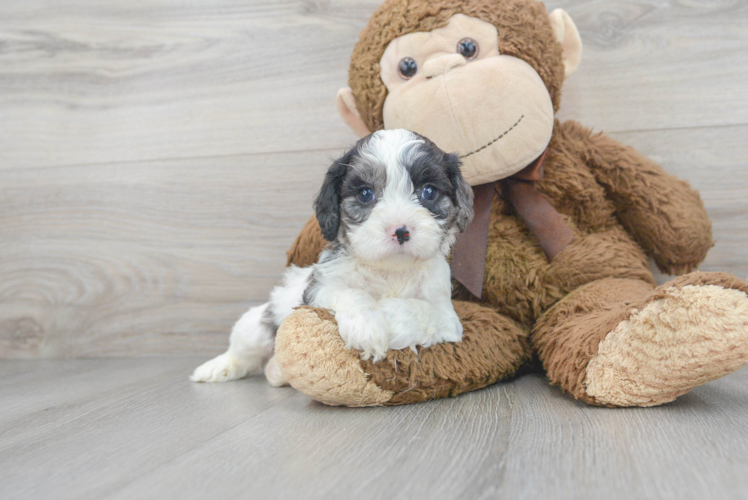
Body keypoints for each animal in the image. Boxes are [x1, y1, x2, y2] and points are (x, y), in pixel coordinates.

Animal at [191, 130, 474, 386]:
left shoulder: (447, 318)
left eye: (428, 192)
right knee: (242, 351)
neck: (390, 272)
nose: (400, 230)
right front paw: (367, 325)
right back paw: (216, 369)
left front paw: (388, 315)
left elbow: (421, 310)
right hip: (256, 324)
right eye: (365, 194)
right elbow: (352, 293)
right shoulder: (319, 290)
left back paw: (276, 371)